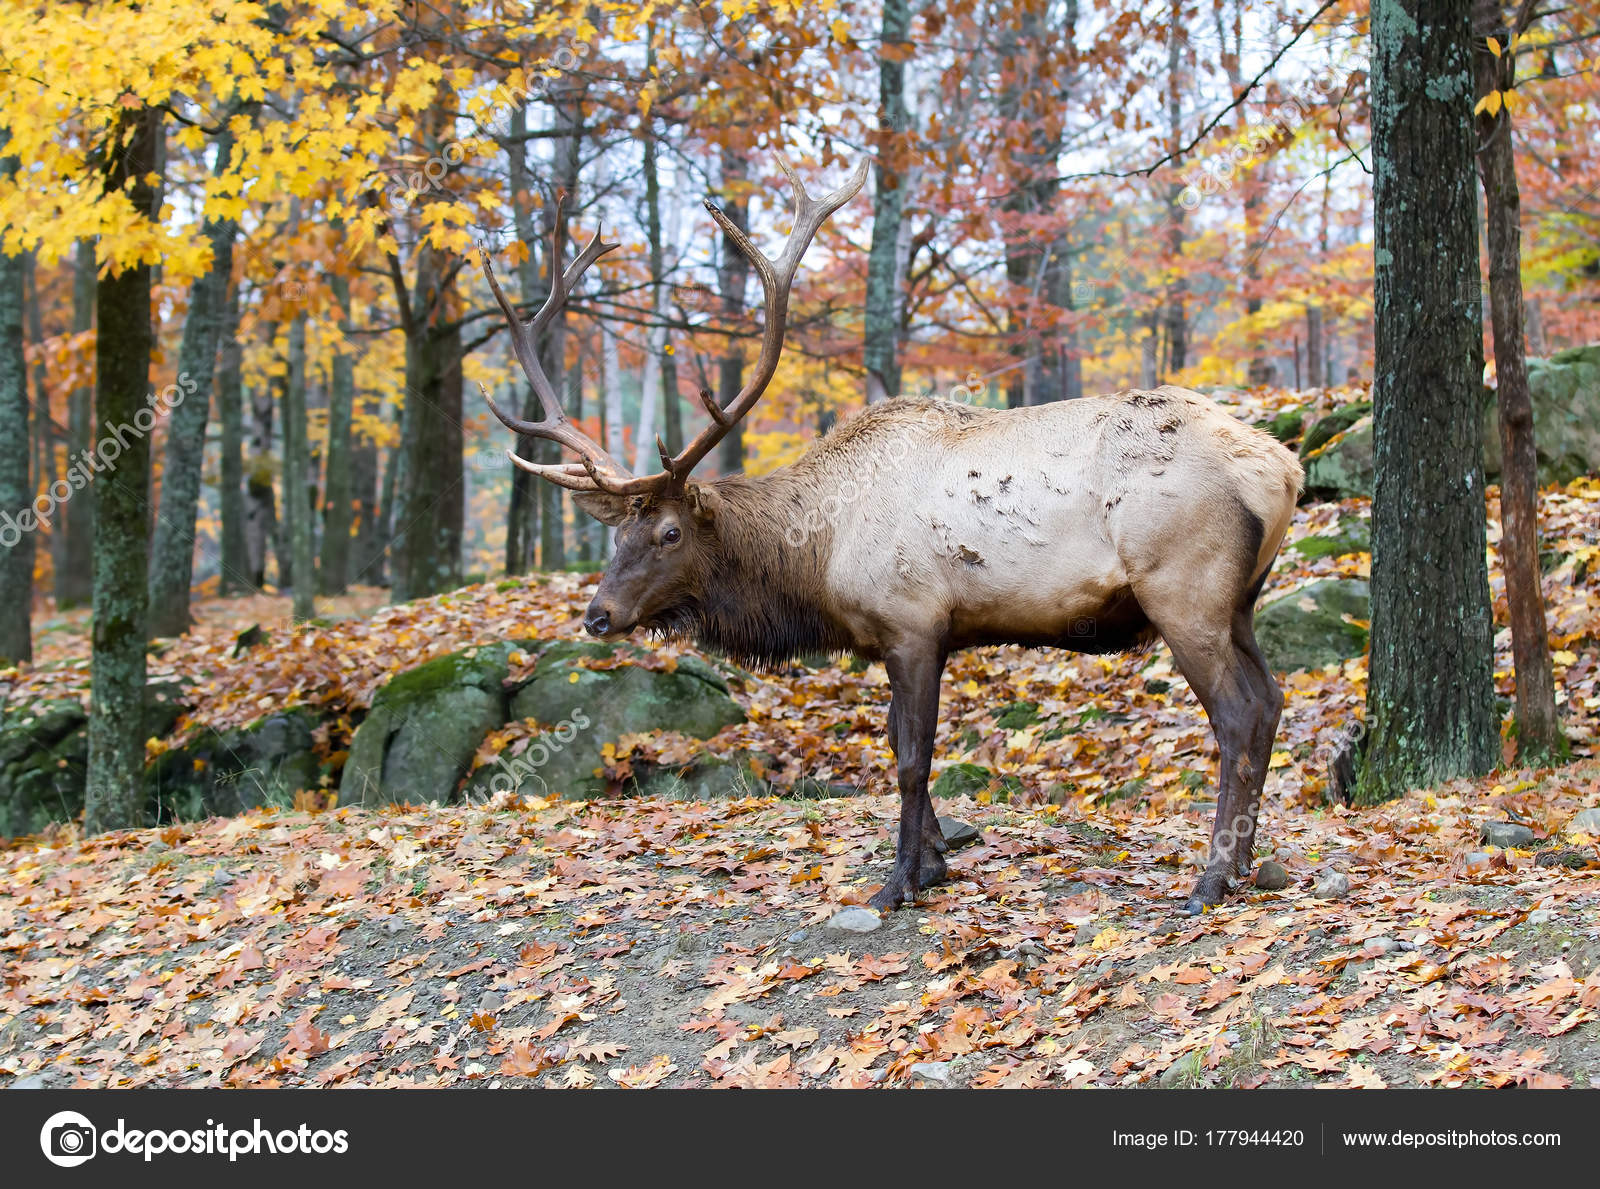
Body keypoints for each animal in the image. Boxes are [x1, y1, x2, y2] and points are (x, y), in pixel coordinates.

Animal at [480, 158, 1305, 915]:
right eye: (616, 532)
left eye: (670, 531)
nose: (598, 614)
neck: (816, 564)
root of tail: (1285, 467)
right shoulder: (888, 636)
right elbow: (889, 740)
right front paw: (937, 858)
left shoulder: (913, 621)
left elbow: (911, 757)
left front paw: (900, 880)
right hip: (1238, 598)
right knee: (1270, 700)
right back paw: (1248, 861)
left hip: (1183, 587)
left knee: (1237, 714)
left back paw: (1210, 878)